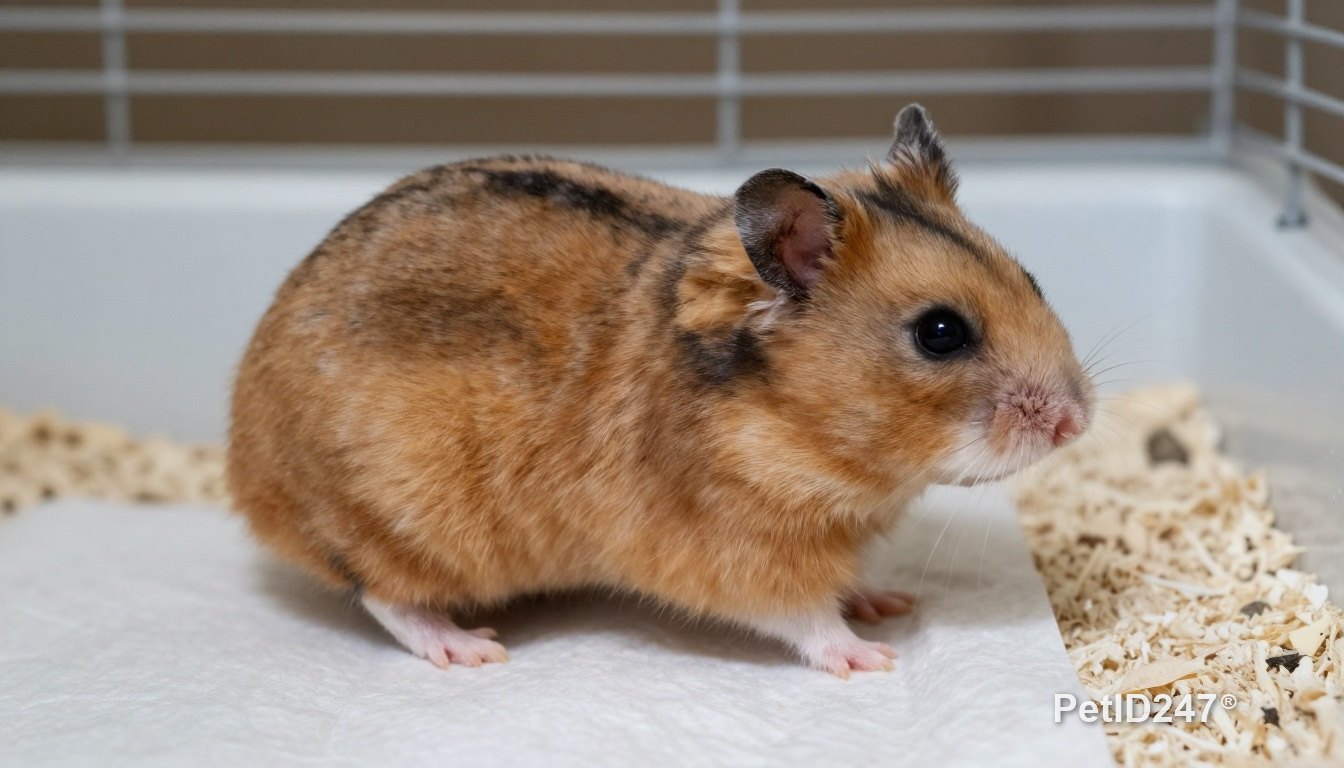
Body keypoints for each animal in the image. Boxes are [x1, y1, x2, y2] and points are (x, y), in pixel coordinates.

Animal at [227, 104, 1093, 677]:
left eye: (1031, 278)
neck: (793, 425)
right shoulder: (739, 550)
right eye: (940, 333)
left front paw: (887, 602)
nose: (1078, 424)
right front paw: (873, 656)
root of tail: (244, 467)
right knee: (381, 593)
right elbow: (805, 616)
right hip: (406, 513)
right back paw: (471, 649)